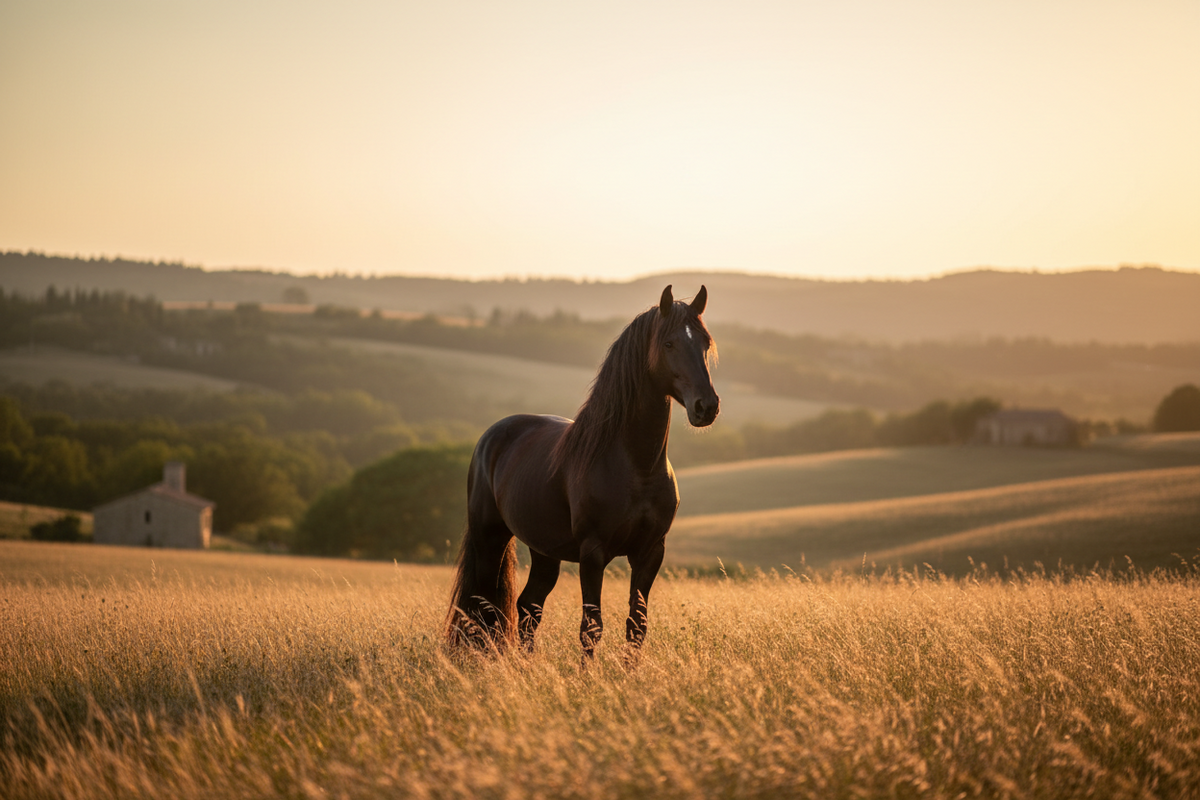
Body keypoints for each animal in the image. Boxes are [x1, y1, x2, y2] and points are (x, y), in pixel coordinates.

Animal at [445, 284, 719, 660]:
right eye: (668, 343)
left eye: (705, 342)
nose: (706, 406)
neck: (636, 466)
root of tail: (493, 435)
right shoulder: (593, 553)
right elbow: (591, 628)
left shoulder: (650, 553)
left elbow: (636, 627)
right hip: (490, 538)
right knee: (482, 609)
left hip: (544, 551)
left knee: (528, 607)